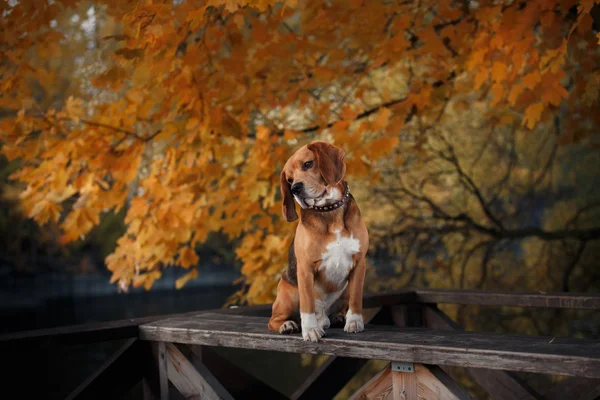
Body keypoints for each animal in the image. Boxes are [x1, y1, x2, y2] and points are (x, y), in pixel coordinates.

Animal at [268, 142, 370, 342]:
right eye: (289, 180)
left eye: (308, 164)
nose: (295, 189)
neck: (329, 211)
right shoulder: (305, 268)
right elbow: (307, 304)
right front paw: (310, 330)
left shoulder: (359, 262)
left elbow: (356, 298)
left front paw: (354, 322)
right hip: (289, 294)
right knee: (273, 320)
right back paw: (288, 325)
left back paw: (336, 318)